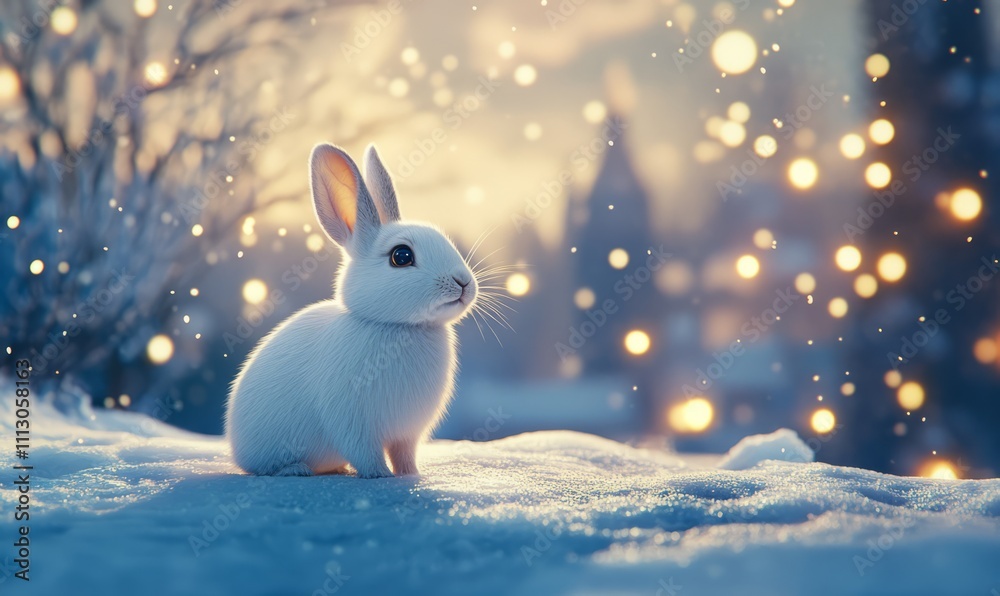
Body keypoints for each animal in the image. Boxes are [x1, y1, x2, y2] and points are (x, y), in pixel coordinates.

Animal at [225, 143, 478, 478]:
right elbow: (365, 453)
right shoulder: (350, 421)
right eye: (401, 256)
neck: (399, 326)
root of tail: (235, 446)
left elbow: (404, 454)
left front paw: (411, 474)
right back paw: (296, 469)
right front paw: (380, 475)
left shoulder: (406, 434)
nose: (463, 283)